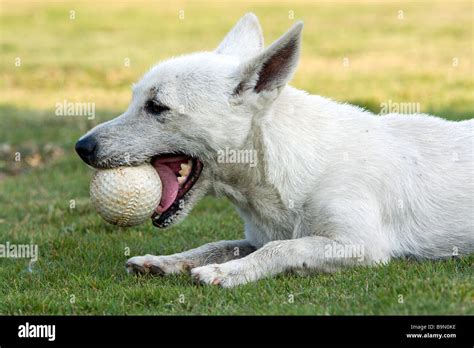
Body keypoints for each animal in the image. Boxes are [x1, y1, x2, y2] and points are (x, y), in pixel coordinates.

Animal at [76, 13, 472, 286]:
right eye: (135, 100)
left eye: (157, 107)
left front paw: (225, 273)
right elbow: (219, 244)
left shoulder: (361, 246)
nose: (82, 147)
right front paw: (166, 261)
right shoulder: (257, 236)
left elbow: (283, 248)